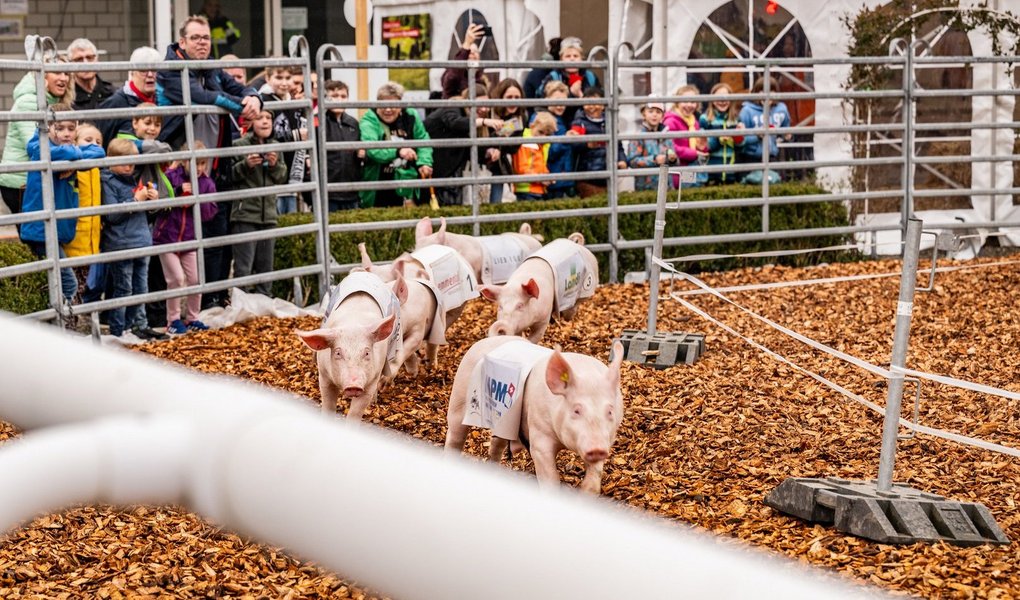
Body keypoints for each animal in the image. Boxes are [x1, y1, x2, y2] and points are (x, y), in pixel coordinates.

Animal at [295, 271, 407, 420]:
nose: (354, 385)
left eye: (366, 353)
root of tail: (364, 273)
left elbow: (355, 413)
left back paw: (374, 402)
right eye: (338, 353)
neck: (353, 322)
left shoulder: (371, 380)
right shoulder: (324, 377)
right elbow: (328, 406)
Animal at [445, 336, 626, 494]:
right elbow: (550, 480)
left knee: (496, 444)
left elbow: (593, 483)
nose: (597, 449)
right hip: (459, 397)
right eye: (576, 410)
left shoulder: (607, 439)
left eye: (609, 411)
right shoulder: (538, 435)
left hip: (505, 422)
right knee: (454, 437)